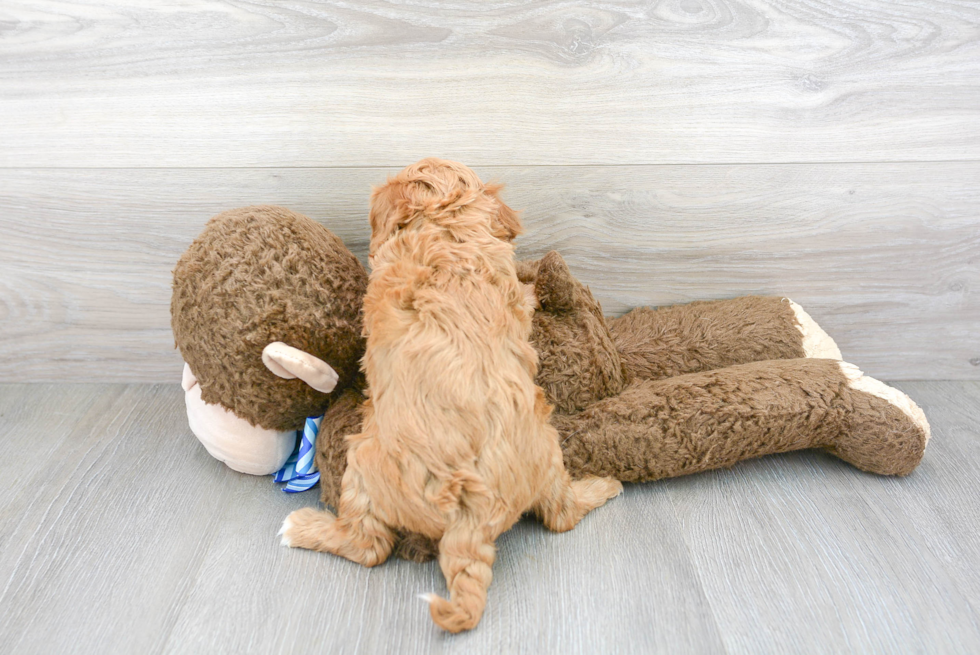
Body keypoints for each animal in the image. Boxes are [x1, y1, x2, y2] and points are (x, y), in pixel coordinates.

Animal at [280, 156, 624, 632]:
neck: (449, 229)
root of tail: (471, 512)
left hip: (362, 466)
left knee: (369, 546)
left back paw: (300, 528)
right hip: (548, 450)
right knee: (561, 515)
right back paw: (604, 485)